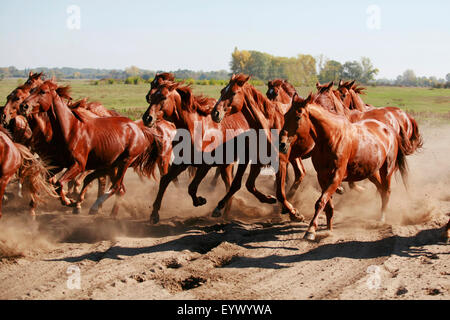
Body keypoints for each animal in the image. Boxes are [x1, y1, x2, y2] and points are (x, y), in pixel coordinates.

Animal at [19, 80, 151, 216]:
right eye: (32, 90)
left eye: (43, 91)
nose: (23, 106)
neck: (69, 129)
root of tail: (138, 128)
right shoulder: (57, 164)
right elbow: (51, 181)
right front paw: (69, 200)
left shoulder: (78, 165)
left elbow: (60, 183)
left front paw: (70, 202)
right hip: (113, 166)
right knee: (120, 189)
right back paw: (111, 214)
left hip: (125, 162)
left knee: (116, 187)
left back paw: (95, 207)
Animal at [282, 92, 412, 240]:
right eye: (285, 115)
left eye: (298, 117)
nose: (282, 144)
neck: (331, 137)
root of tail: (390, 129)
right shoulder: (322, 177)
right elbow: (328, 205)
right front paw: (329, 228)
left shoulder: (336, 177)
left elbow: (321, 201)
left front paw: (311, 230)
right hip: (372, 172)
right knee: (380, 188)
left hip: (387, 169)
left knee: (386, 191)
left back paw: (382, 219)